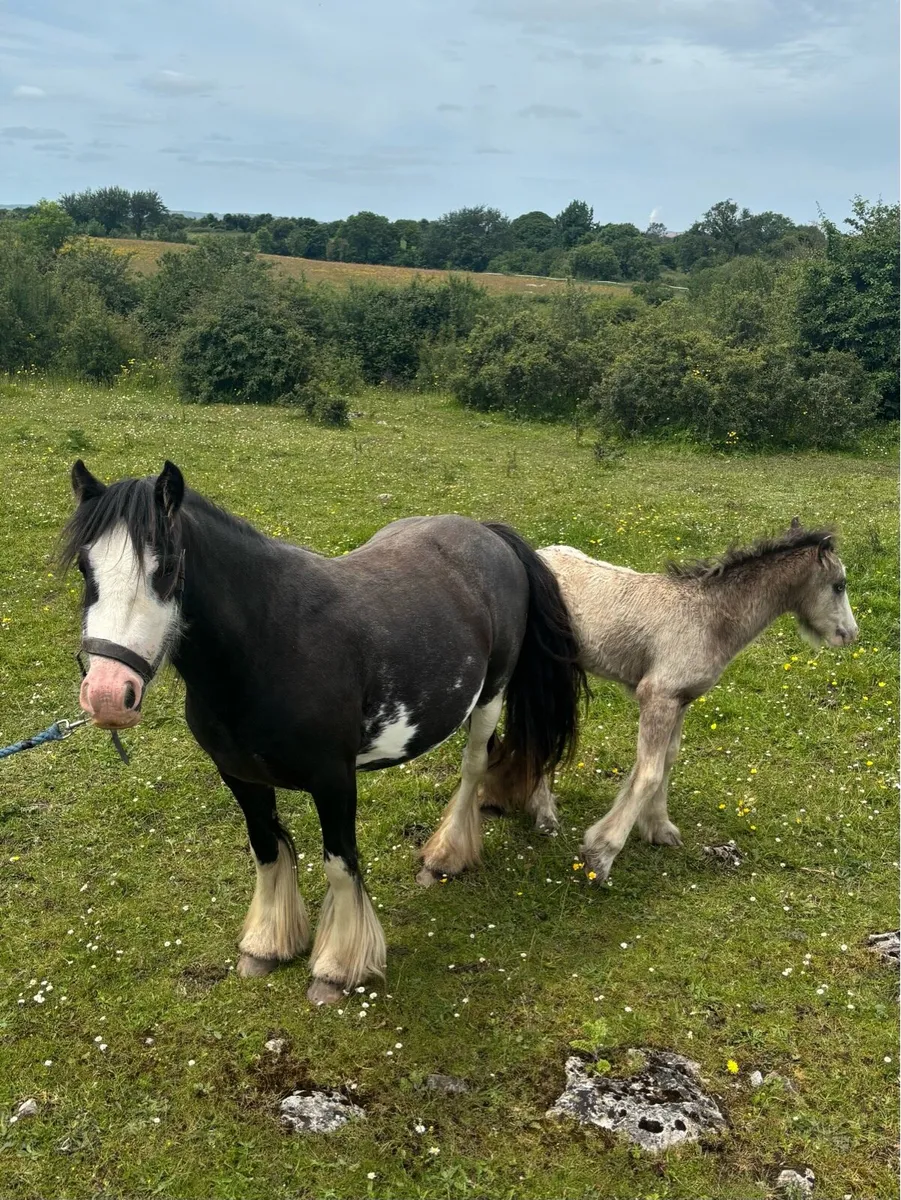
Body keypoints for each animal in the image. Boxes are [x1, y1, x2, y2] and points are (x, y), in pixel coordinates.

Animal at [62, 460, 586, 1004]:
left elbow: (339, 864)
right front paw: (267, 946)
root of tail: (488, 533)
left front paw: (338, 968)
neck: (269, 644)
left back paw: (446, 855)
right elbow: (267, 849)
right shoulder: (239, 776)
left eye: (164, 567)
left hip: (490, 696)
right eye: (85, 568)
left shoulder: (334, 781)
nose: (107, 694)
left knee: (473, 766)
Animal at [480, 521, 858, 882]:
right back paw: (544, 814)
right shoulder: (657, 695)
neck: (710, 618)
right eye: (839, 585)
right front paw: (601, 855)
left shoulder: (680, 700)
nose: (850, 634)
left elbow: (667, 761)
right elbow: (648, 773)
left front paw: (659, 829)